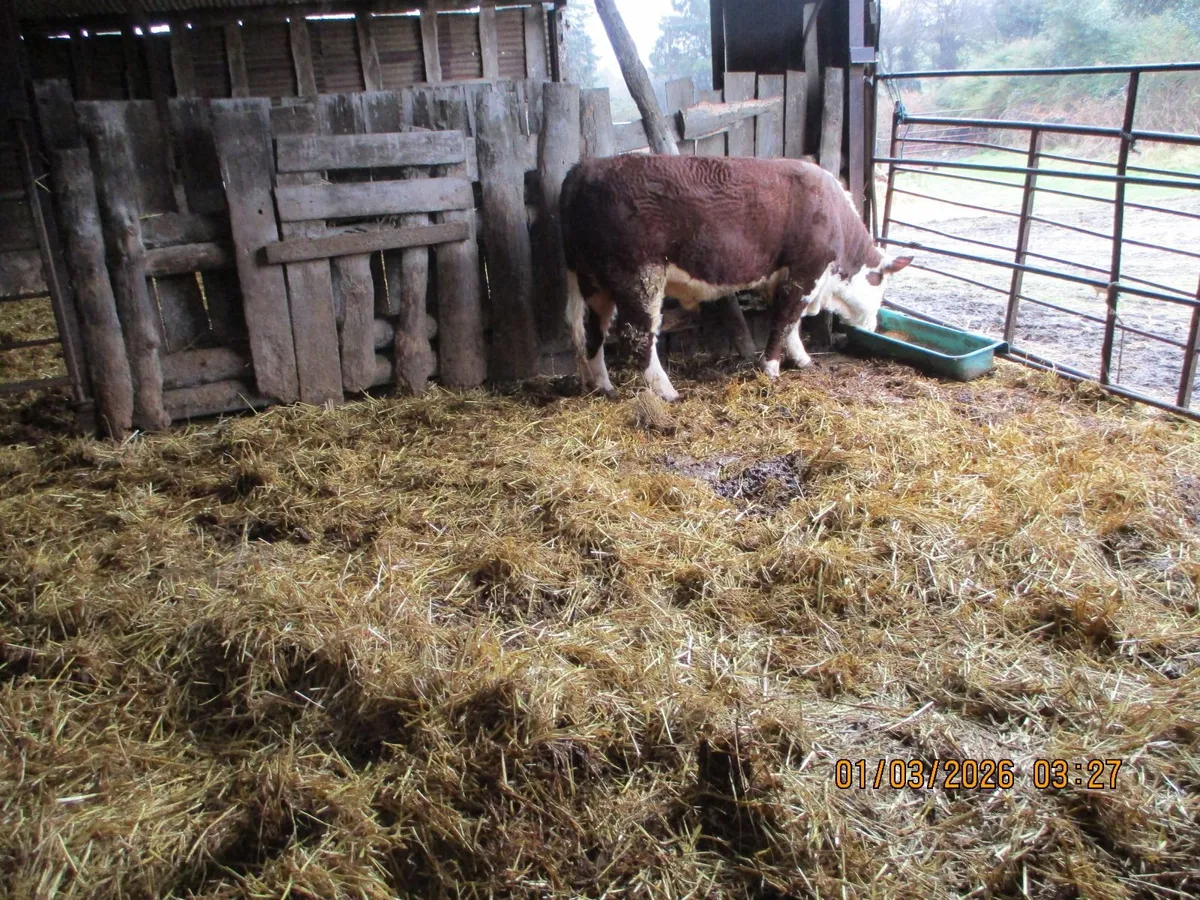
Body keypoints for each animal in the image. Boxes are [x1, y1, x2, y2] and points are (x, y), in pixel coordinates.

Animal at [560, 154, 913, 401]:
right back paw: (667, 391)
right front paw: (770, 369)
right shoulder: (804, 272)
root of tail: (585, 168)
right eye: (881, 285)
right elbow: (783, 321)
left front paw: (801, 359)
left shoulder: (784, 278)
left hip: (594, 282)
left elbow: (791, 324)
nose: (874, 326)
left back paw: (604, 385)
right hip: (640, 277)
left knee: (594, 332)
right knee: (638, 335)